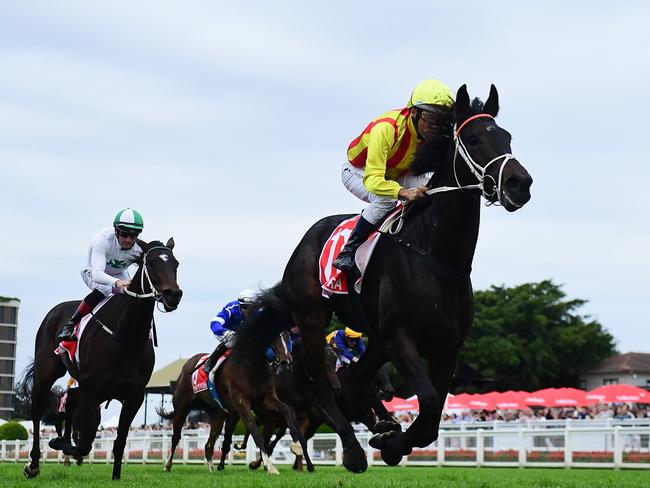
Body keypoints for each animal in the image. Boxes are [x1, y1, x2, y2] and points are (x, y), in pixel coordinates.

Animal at [24, 213, 181, 480]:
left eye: (176, 264)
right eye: (151, 264)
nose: (173, 295)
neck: (126, 336)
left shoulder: (133, 396)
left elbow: (119, 441)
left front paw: (116, 477)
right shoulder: (93, 392)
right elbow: (84, 443)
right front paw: (59, 443)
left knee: (70, 400)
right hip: (47, 371)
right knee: (37, 411)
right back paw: (33, 463)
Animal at [243, 85, 532, 472]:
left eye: (506, 137)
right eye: (472, 139)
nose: (520, 183)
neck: (437, 260)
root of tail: (306, 240)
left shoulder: (446, 347)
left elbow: (432, 418)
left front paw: (391, 440)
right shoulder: (400, 337)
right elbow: (428, 402)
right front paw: (390, 442)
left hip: (376, 338)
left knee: (352, 383)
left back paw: (378, 425)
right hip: (313, 318)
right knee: (322, 385)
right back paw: (353, 451)